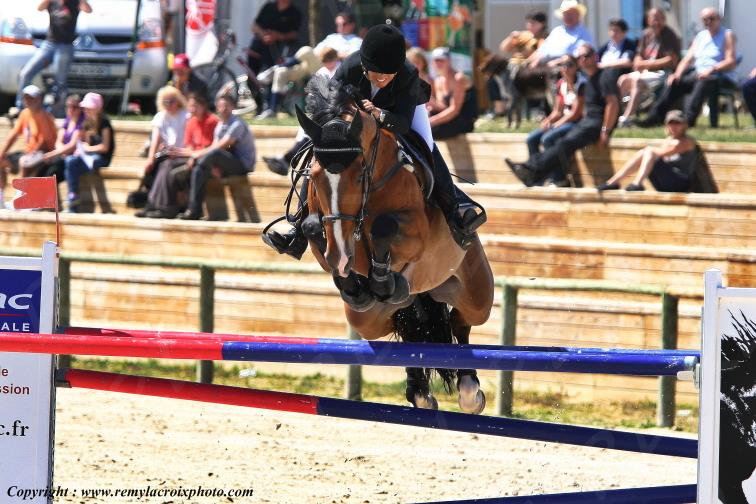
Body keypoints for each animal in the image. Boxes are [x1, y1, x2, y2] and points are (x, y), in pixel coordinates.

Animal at [287, 75, 494, 412]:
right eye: (314, 175)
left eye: (359, 175)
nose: (341, 258)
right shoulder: (325, 233)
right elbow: (312, 226)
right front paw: (354, 283)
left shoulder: (416, 233)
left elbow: (384, 226)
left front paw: (382, 279)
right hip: (367, 320)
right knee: (409, 332)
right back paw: (420, 392)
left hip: (476, 293)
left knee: (461, 321)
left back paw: (469, 392)